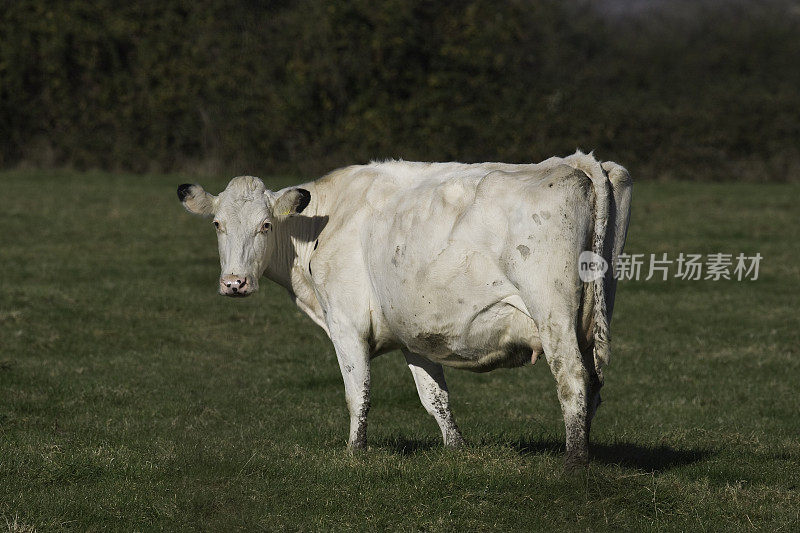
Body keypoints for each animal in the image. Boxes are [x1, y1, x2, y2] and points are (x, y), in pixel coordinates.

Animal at [175, 151, 632, 466]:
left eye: (265, 225)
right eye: (217, 225)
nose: (234, 283)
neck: (321, 222)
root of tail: (577, 162)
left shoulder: (347, 325)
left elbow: (357, 393)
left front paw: (355, 453)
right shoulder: (416, 334)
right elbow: (434, 398)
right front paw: (457, 451)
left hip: (553, 314)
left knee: (572, 380)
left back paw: (574, 463)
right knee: (593, 385)